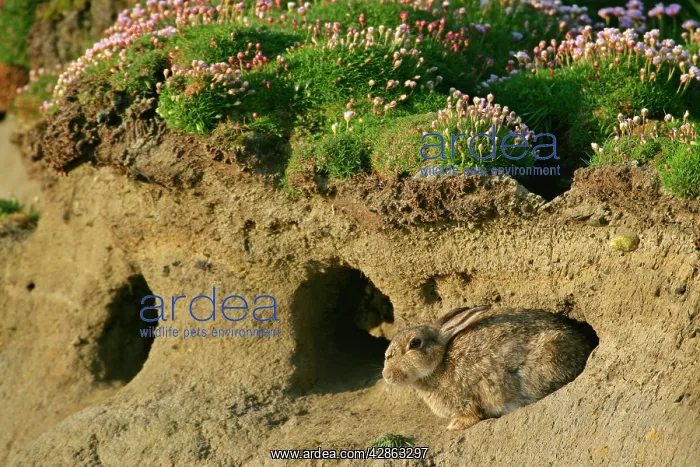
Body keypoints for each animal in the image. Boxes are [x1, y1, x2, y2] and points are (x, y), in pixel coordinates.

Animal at [382, 305, 598, 430]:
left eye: (414, 344)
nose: (387, 376)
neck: (440, 362)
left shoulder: (466, 399)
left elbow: (470, 415)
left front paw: (454, 426)